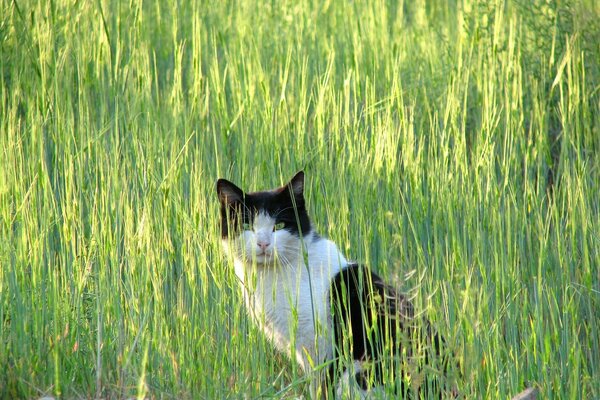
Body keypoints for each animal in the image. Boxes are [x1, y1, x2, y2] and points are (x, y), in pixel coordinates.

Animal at [216, 171, 450, 396]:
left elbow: (320, 386)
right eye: (247, 225)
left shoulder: (319, 346)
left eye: (279, 225)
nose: (263, 244)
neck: (274, 275)